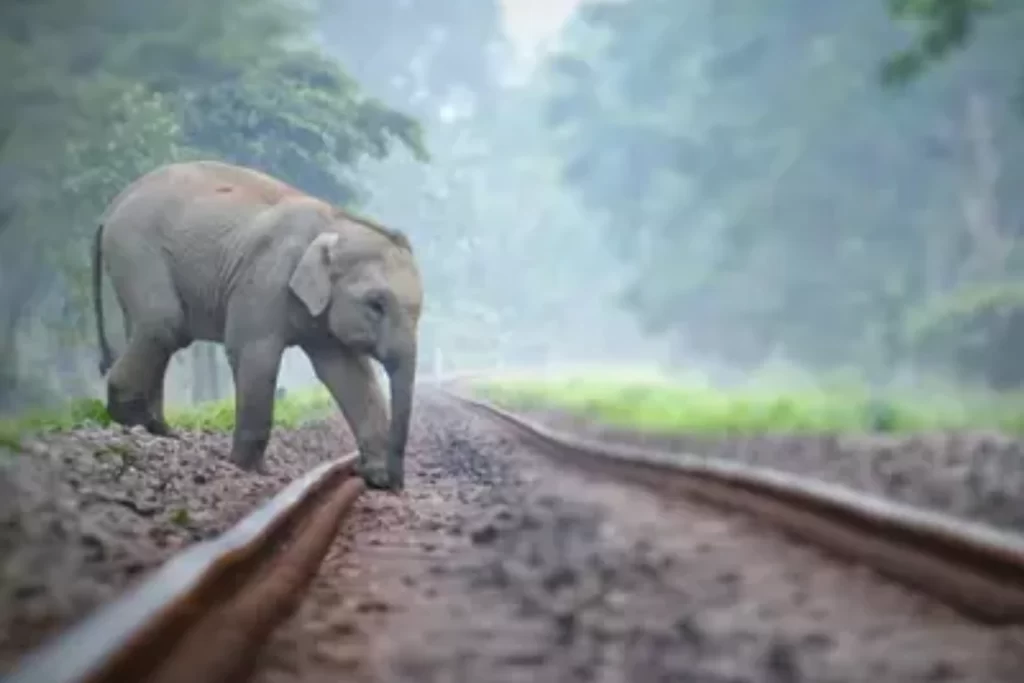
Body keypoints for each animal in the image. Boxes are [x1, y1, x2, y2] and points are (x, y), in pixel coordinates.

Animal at [91, 160, 423, 491]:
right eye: (375, 304)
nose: (396, 483)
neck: (335, 221)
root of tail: (112, 206)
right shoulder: (265, 279)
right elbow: (253, 353)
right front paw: (247, 468)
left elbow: (347, 373)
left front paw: (377, 477)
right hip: (136, 247)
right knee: (163, 323)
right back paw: (131, 419)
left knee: (152, 331)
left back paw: (159, 428)